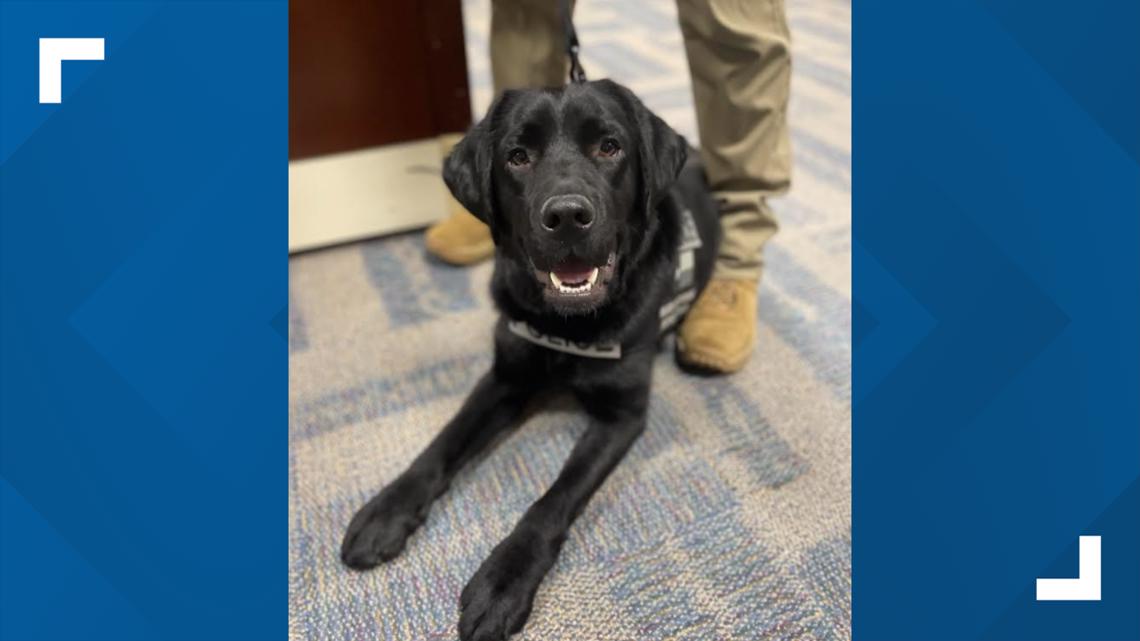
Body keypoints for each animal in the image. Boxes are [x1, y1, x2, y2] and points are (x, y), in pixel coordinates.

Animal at [339, 79, 720, 638]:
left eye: (610, 147)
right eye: (517, 157)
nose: (567, 217)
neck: (569, 327)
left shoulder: (622, 415)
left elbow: (553, 499)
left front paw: (504, 581)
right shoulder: (504, 377)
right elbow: (444, 442)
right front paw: (386, 510)